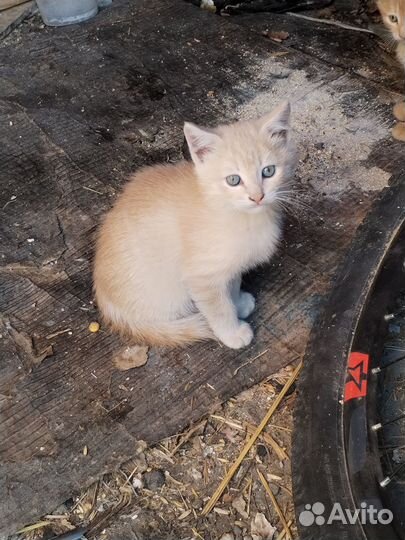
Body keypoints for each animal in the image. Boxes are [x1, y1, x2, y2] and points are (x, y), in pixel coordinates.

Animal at [93, 102, 296, 350]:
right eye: (233, 180)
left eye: (268, 171)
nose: (257, 197)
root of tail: (108, 306)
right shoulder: (201, 277)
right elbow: (219, 308)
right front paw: (232, 332)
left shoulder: (228, 266)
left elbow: (232, 283)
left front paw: (238, 302)